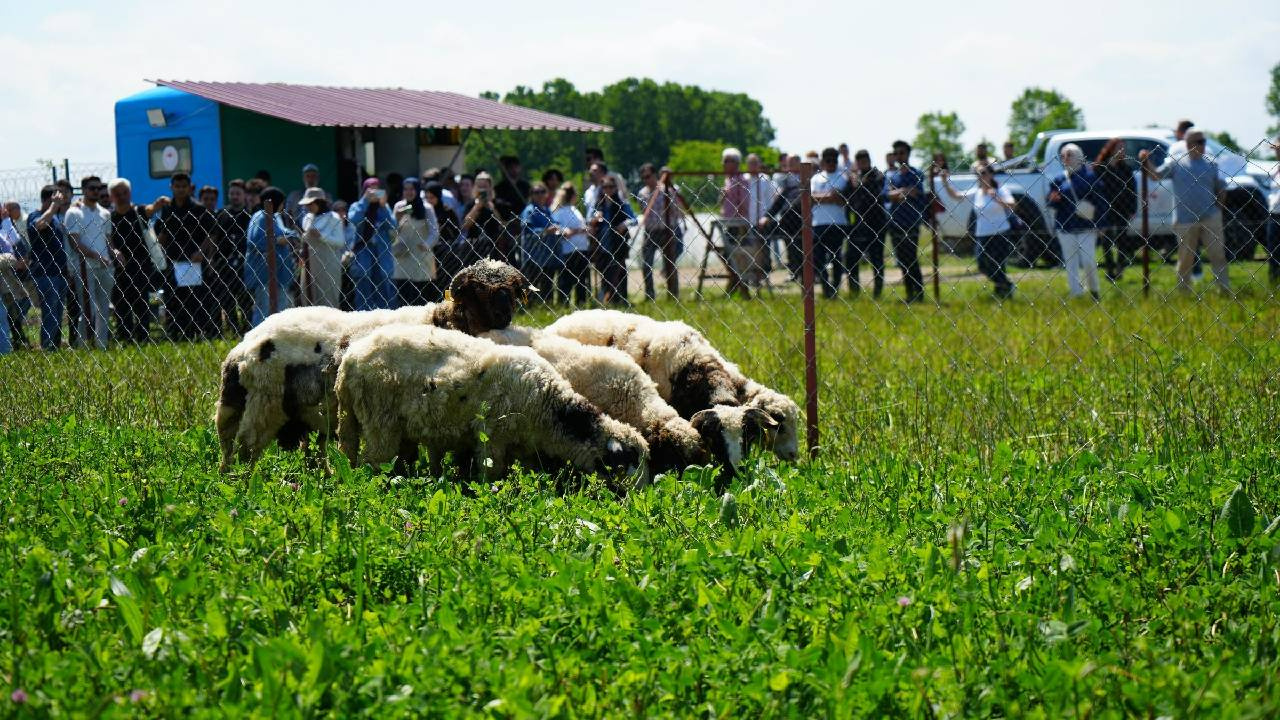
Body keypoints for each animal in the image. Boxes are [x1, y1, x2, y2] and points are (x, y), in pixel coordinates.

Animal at [337, 326, 650, 486]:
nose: (641, 496)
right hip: (380, 421)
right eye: (628, 461)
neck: (549, 408)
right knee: (374, 462)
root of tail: (351, 359)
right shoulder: (492, 437)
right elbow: (492, 472)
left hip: (358, 419)